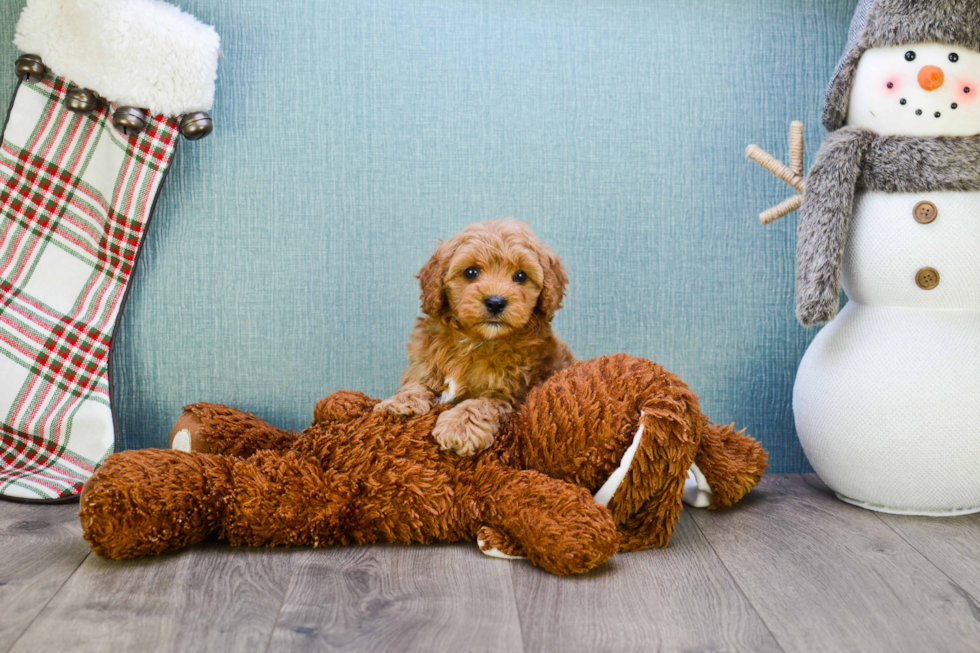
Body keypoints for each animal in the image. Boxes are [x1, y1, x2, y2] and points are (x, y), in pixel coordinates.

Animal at [376, 219, 576, 454]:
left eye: (520, 276)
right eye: (470, 272)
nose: (495, 302)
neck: (475, 340)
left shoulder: (508, 394)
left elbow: (478, 404)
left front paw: (458, 428)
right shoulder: (425, 360)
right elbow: (417, 382)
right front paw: (400, 401)